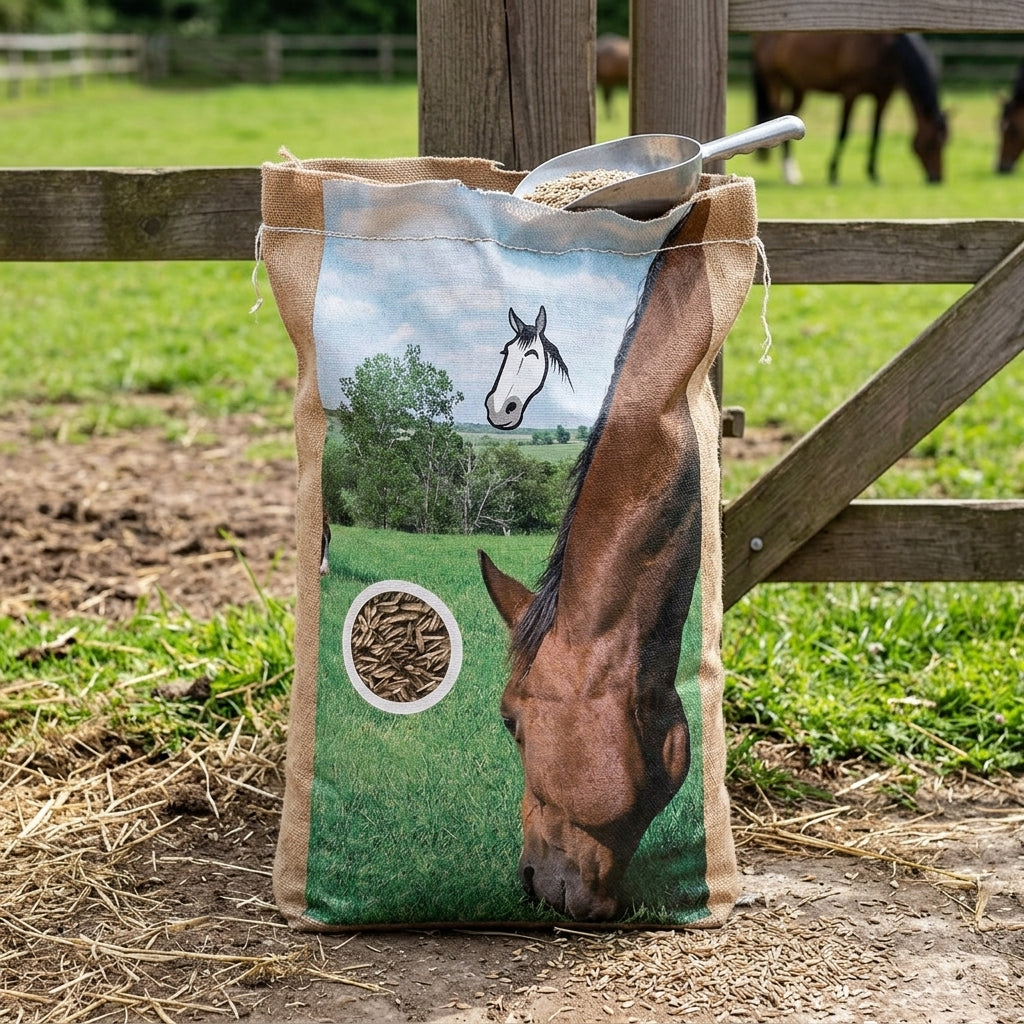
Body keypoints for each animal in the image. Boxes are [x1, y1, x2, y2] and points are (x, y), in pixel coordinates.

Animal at [752, 31, 949, 185]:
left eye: (945, 142)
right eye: (930, 143)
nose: (936, 178)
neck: (885, 47)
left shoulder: (883, 95)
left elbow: (876, 134)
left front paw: (874, 174)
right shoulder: (850, 92)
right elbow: (844, 131)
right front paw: (833, 173)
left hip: (799, 86)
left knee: (791, 112)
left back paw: (792, 171)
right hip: (774, 80)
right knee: (778, 111)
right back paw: (789, 173)